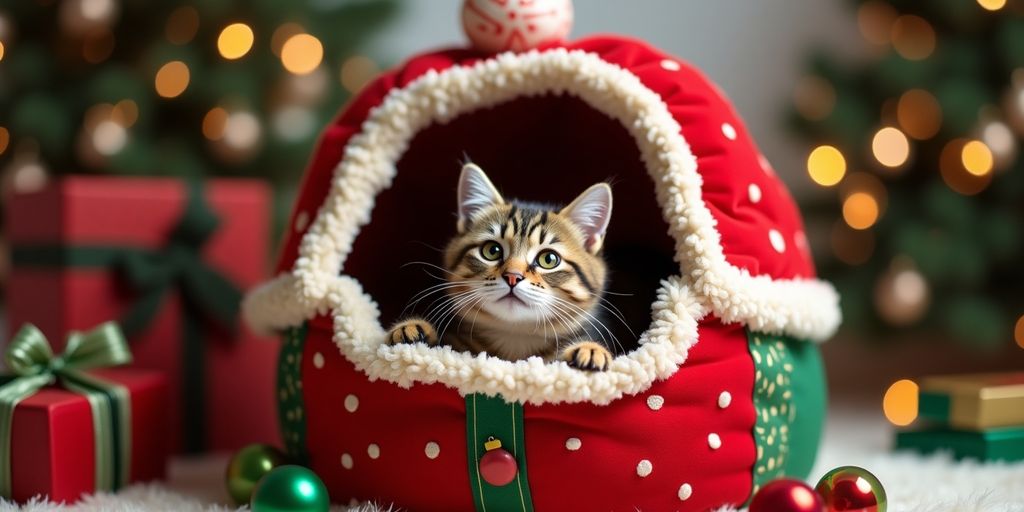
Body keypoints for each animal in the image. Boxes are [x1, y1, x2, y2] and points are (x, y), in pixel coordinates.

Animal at [385, 163, 614, 372]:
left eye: (548, 259)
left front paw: (590, 349)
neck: (515, 338)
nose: (513, 276)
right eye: (492, 250)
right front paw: (413, 329)